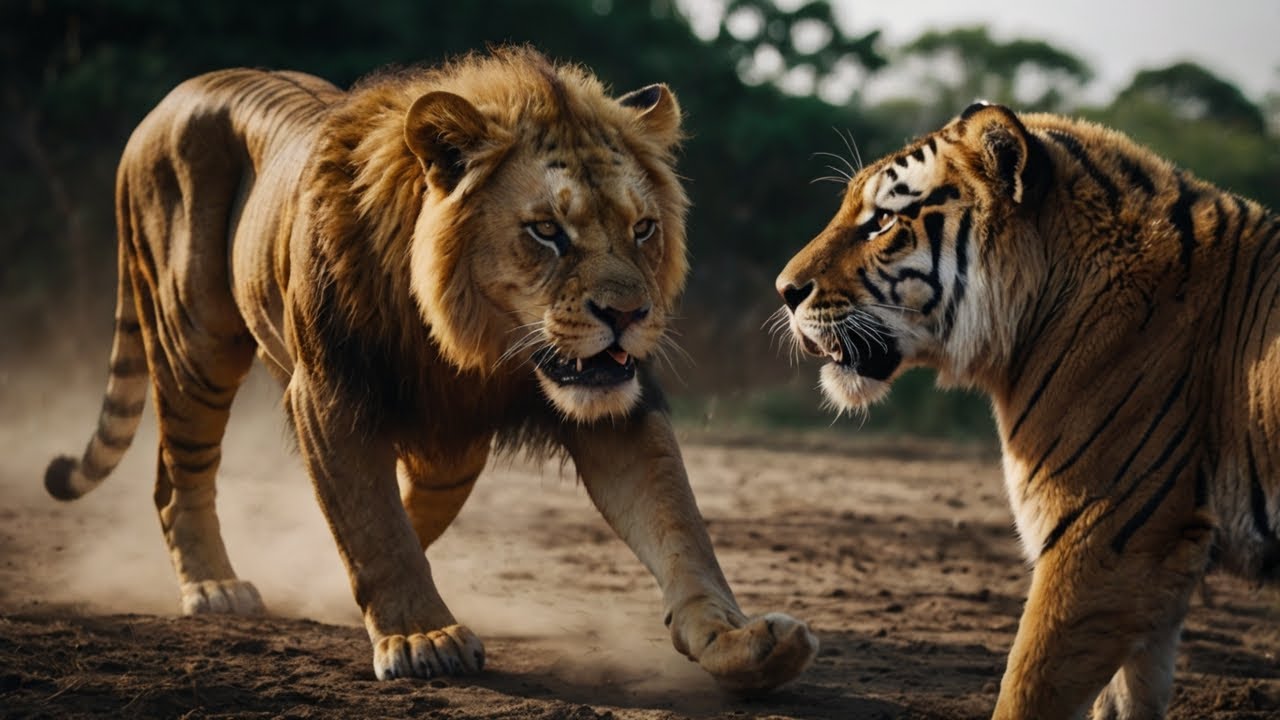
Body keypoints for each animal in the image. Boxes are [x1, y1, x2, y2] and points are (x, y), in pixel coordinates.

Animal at [42, 47, 817, 691]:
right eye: (547, 231)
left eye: (643, 228)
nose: (628, 315)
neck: (473, 345)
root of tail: (175, 96)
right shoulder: (327, 396)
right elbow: (377, 528)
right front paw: (421, 638)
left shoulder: (616, 403)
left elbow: (679, 530)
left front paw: (737, 641)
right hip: (194, 339)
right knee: (180, 481)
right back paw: (214, 589)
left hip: (450, 451)